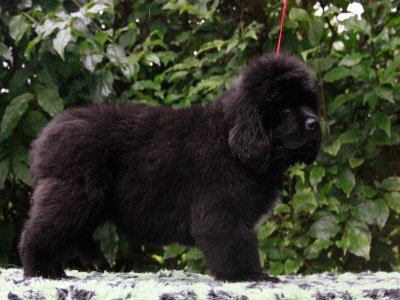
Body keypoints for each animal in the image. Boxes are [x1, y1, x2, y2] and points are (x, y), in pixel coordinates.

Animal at [18, 53, 320, 282]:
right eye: (283, 106)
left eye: (309, 102)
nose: (314, 124)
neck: (233, 141)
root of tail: (44, 138)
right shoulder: (223, 212)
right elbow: (236, 245)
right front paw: (251, 276)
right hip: (74, 195)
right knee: (39, 233)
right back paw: (43, 272)